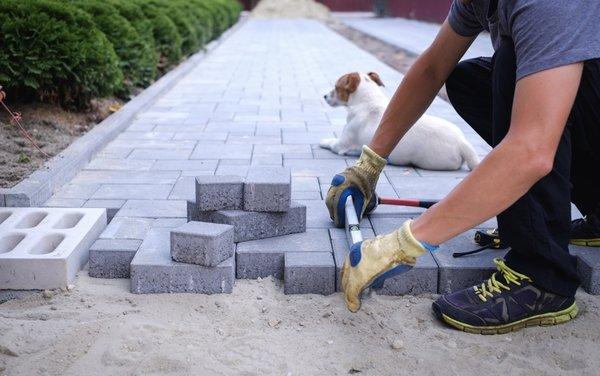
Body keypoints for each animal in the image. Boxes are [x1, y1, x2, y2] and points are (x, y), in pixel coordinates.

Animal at [322, 71, 480, 170]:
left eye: (336, 87)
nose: (324, 96)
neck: (368, 99)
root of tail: (462, 142)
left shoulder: (340, 144)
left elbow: (331, 142)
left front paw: (323, 141)